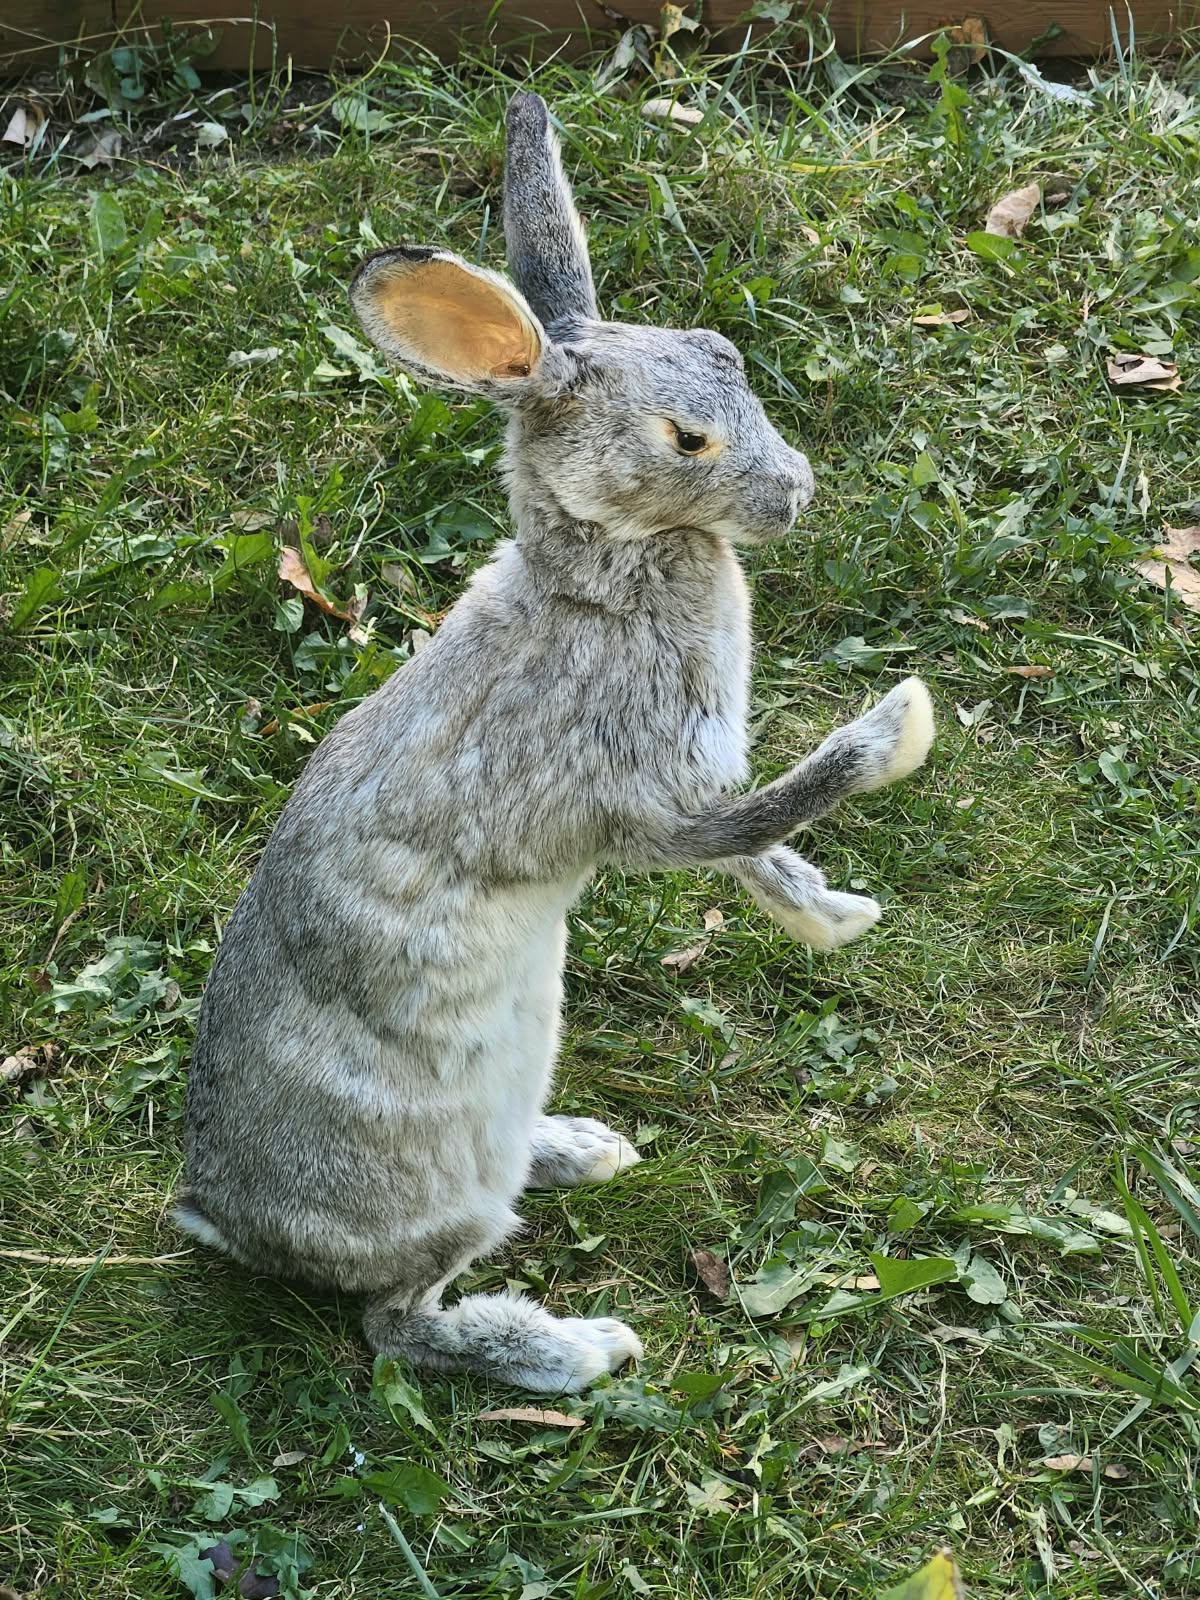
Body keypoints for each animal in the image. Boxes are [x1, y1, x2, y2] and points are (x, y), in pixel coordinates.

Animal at [173, 91, 935, 1394]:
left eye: (727, 355)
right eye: (686, 440)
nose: (796, 492)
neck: (599, 581)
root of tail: (223, 1220)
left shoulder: (688, 784)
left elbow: (762, 855)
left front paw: (836, 917)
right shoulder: (647, 800)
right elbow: (767, 812)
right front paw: (896, 732)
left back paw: (585, 1147)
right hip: (443, 1190)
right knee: (401, 1323)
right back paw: (575, 1347)